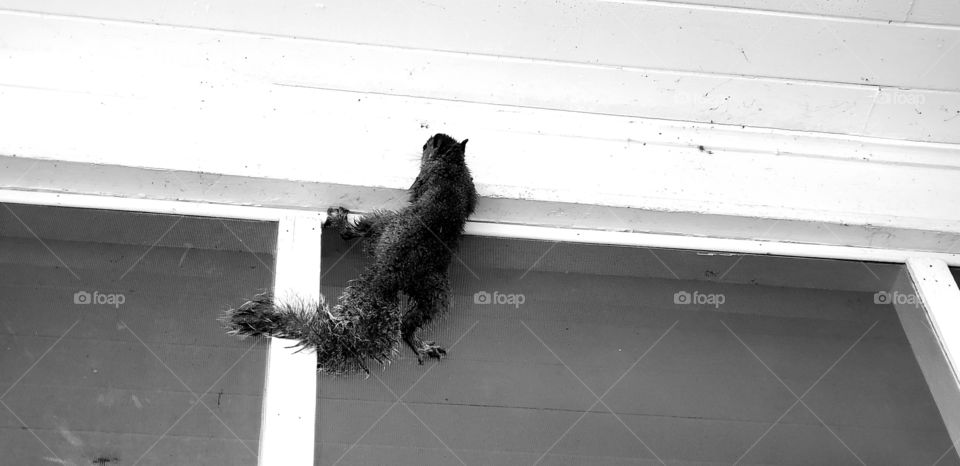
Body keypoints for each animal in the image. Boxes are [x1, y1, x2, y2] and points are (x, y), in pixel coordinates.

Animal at [221, 134, 477, 374]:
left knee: (359, 232)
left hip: (388, 231)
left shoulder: (428, 179)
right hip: (430, 288)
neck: (451, 163)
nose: (422, 149)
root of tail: (390, 274)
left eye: (426, 146)